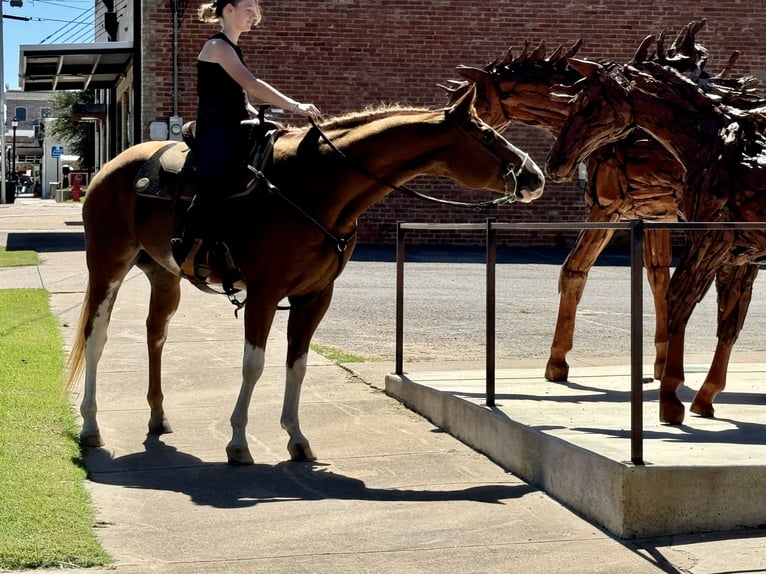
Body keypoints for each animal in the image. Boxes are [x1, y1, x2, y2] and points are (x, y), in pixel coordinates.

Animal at [66, 88, 544, 466]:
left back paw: (158, 417)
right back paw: (90, 427)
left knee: (156, 334)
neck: (314, 187)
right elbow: (254, 364)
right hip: (108, 266)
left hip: (164, 276)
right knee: (96, 336)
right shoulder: (264, 293)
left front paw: (297, 438)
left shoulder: (314, 297)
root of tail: (110, 169)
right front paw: (238, 442)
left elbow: (297, 365)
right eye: (487, 134)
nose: (535, 176)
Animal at [544, 45, 766, 426]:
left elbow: (679, 299)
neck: (717, 150)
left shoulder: (711, 242)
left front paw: (672, 398)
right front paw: (704, 398)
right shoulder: (740, 256)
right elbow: (729, 320)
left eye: (587, 103)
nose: (555, 164)